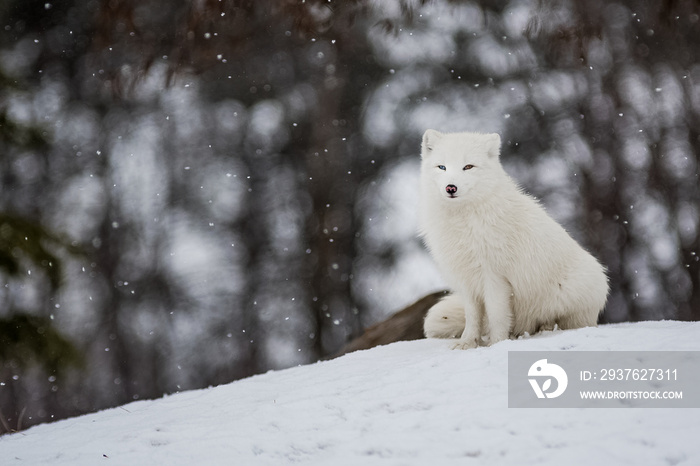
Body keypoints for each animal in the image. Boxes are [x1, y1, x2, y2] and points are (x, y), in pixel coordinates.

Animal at [418, 129, 608, 348]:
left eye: (468, 166)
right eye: (442, 167)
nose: (451, 188)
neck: (463, 222)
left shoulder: (495, 276)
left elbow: (497, 315)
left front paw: (497, 344)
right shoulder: (468, 280)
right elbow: (472, 317)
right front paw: (467, 343)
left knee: (566, 322)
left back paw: (547, 327)